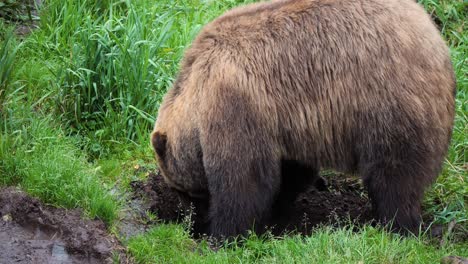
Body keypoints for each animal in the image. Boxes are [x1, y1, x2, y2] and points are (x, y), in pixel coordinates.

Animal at [152, 0, 456, 238]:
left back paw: (397, 224)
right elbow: (290, 170)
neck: (195, 92)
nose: (194, 221)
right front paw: (275, 212)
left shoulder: (234, 101)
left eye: (184, 190)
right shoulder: (284, 121)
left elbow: (241, 176)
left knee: (394, 173)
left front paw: (224, 232)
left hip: (388, 103)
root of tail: (436, 39)